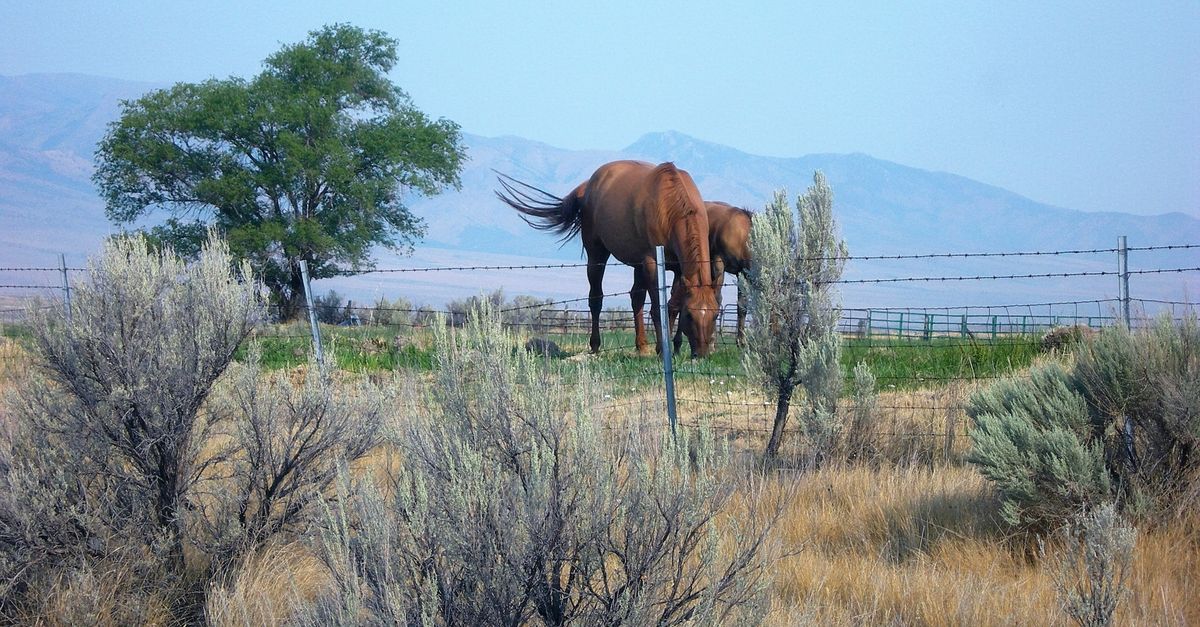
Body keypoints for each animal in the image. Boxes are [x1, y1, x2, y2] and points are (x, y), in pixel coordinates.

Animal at [497, 160, 719, 357]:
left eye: (716, 315)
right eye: (690, 315)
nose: (702, 354)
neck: (671, 206)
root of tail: (586, 188)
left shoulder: (680, 269)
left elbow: (673, 306)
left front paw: (675, 347)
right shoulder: (652, 263)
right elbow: (658, 308)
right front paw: (662, 349)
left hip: (637, 264)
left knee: (636, 298)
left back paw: (641, 345)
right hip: (597, 255)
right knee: (596, 298)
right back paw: (596, 345)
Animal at [672, 201, 752, 352]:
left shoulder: (742, 273)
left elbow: (742, 306)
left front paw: (741, 342)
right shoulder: (718, 261)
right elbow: (717, 298)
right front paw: (712, 344)